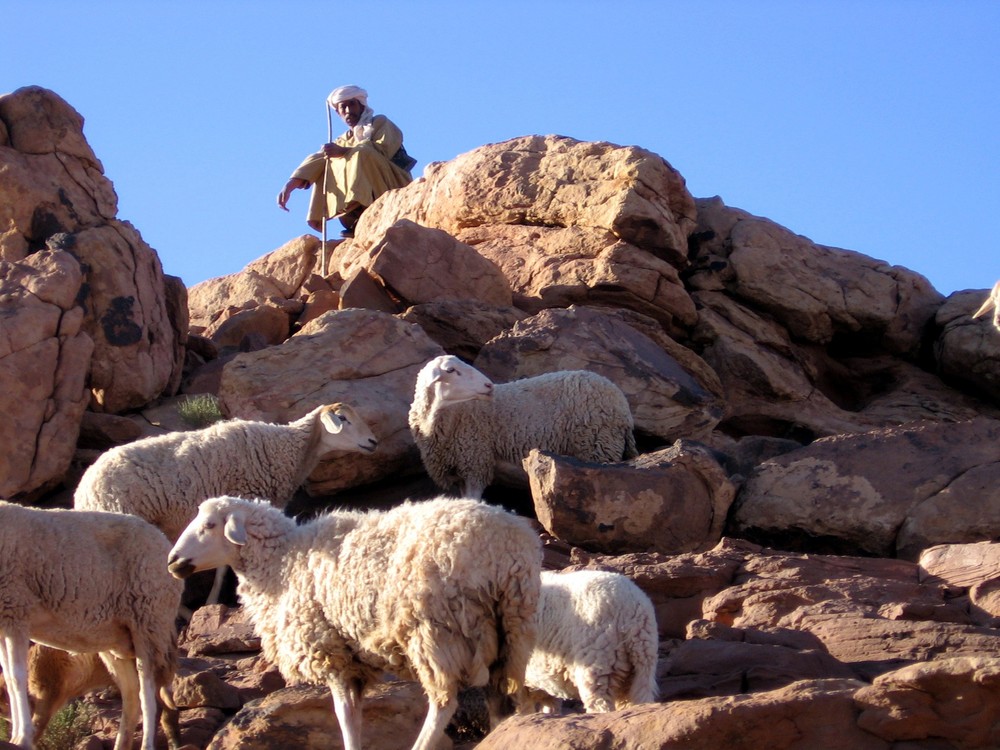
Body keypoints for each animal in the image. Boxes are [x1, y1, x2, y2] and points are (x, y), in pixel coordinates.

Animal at [0, 500, 183, 750]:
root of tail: (164, 542)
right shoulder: (3, 623)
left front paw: (22, 737)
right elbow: (9, 679)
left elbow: (18, 678)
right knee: (131, 693)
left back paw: (146, 744)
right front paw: (16, 737)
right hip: (117, 641)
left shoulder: (17, 613)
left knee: (147, 690)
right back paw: (121, 744)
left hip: (148, 621)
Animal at [75, 406, 378, 604]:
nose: (374, 441)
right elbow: (223, 566)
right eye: (342, 418)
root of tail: (83, 491)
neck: (290, 449)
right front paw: (212, 602)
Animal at [168, 494, 544, 750]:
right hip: (511, 632)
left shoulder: (330, 653)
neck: (282, 562)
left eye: (208, 526)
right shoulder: (352, 660)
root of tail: (505, 552)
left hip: (434, 631)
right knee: (501, 701)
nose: (172, 561)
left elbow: (344, 716)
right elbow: (354, 715)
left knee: (443, 702)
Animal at [408, 356, 636, 502]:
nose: (489, 386)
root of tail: (622, 404)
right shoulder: (459, 467)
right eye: (451, 370)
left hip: (598, 445)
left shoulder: (475, 462)